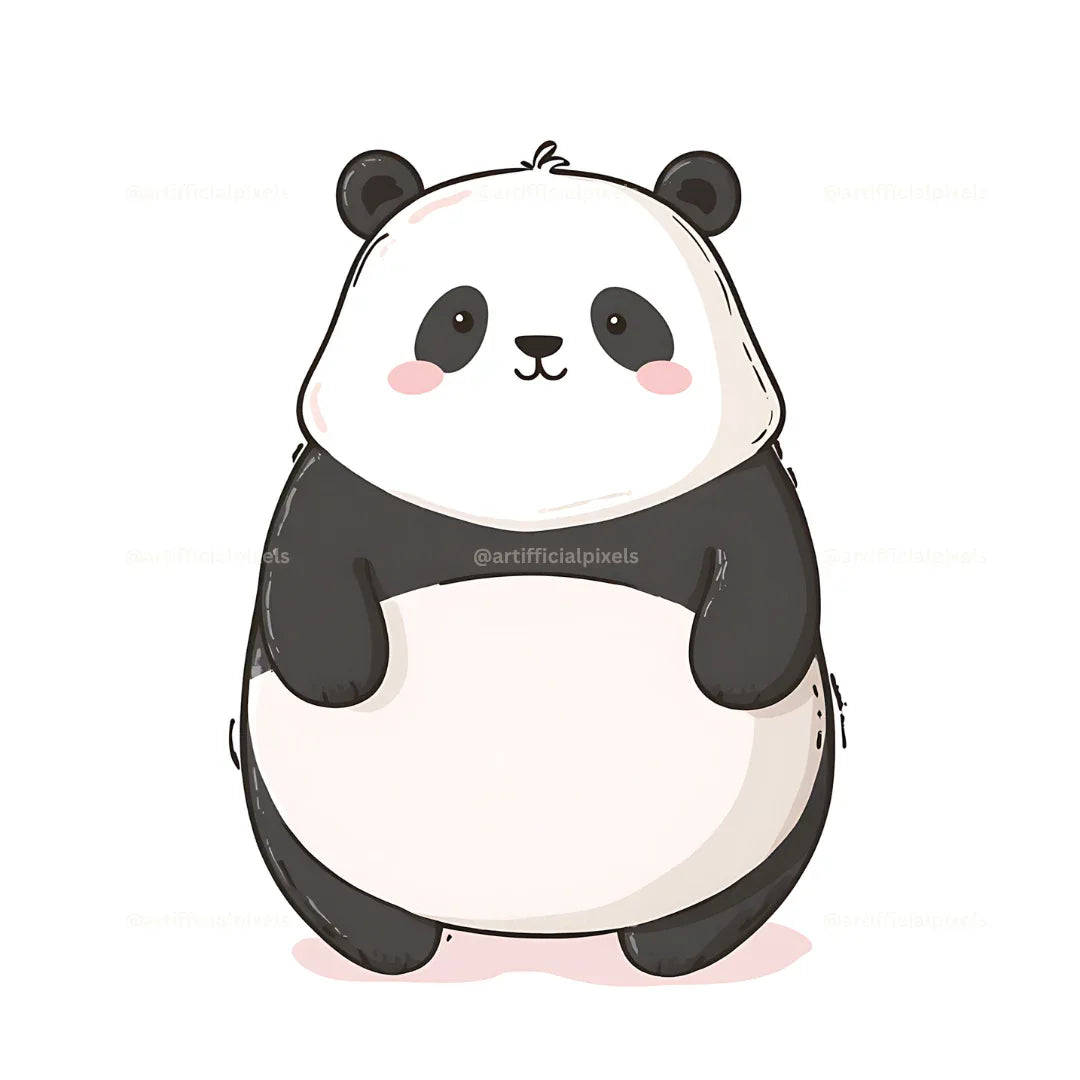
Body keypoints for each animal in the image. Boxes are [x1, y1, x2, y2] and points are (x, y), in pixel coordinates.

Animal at [238, 141, 834, 978]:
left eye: (620, 318)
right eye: (458, 317)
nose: (539, 347)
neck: (539, 479)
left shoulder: (733, 483)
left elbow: (769, 573)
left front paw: (734, 676)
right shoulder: (345, 482)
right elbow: (307, 563)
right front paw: (339, 677)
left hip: (781, 810)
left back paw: (670, 948)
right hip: (293, 802)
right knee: (324, 876)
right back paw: (388, 943)